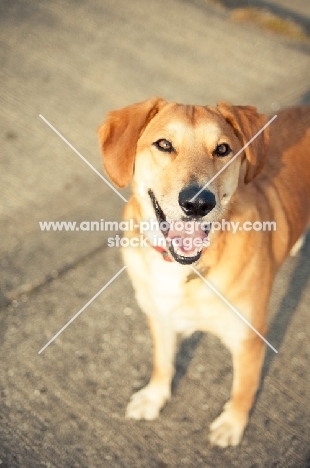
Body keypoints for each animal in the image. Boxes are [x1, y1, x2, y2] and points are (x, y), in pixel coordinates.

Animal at [97, 98, 310, 446]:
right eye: (164, 144)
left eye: (223, 149)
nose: (198, 204)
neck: (185, 269)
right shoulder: (159, 316)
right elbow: (163, 363)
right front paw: (154, 397)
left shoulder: (248, 339)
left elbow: (243, 388)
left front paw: (232, 423)